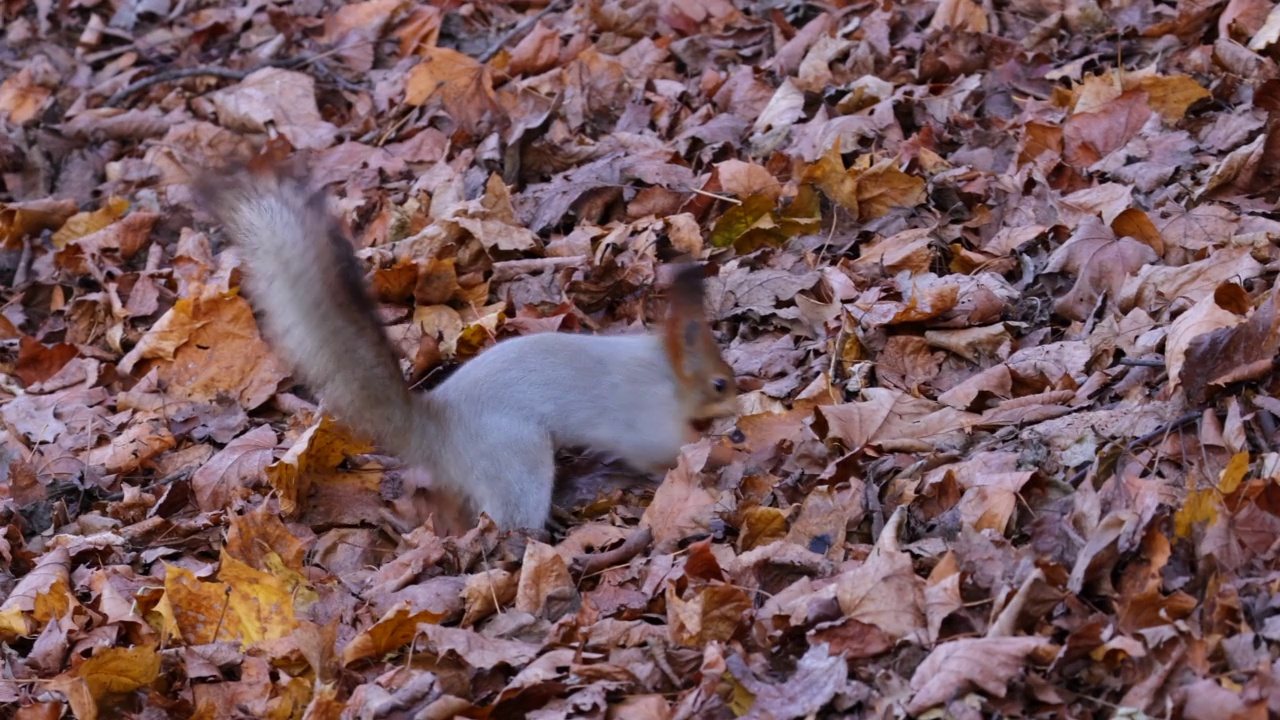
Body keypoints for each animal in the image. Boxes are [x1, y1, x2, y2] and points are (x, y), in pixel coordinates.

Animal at [194, 166, 747, 527]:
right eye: (720, 382)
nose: (740, 407)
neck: (664, 369)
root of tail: (439, 429)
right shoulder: (645, 422)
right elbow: (663, 453)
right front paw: (717, 451)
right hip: (516, 460)